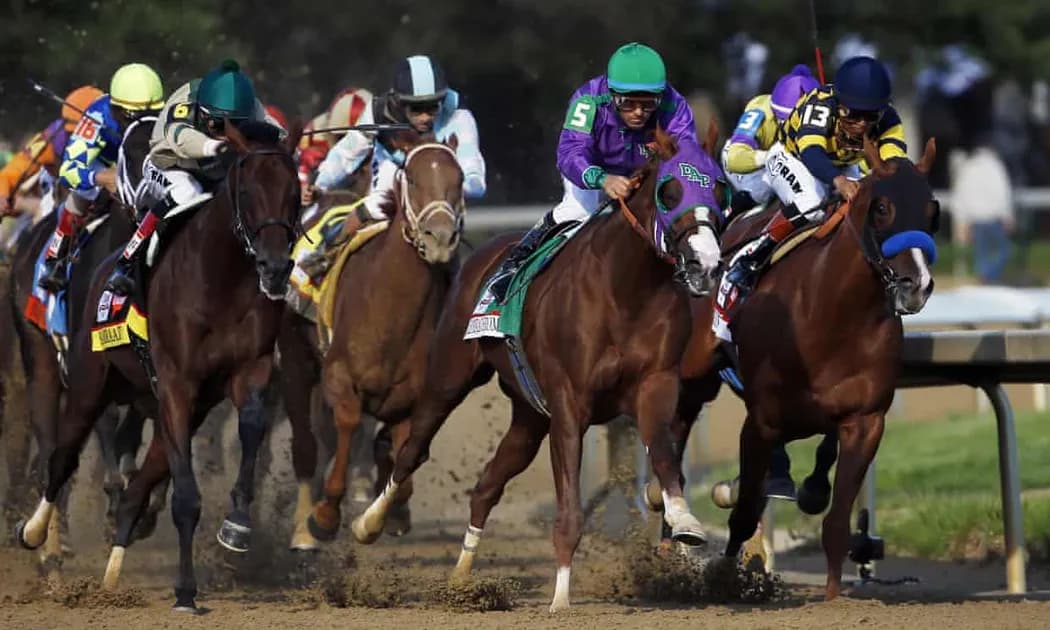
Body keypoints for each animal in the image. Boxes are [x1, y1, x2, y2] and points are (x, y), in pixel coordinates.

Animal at [14, 119, 302, 612]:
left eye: (295, 190)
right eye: (248, 190)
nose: (276, 267)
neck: (221, 279)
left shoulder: (247, 372)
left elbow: (251, 425)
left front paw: (237, 525)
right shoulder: (175, 383)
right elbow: (184, 498)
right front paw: (185, 591)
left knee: (136, 486)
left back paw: (112, 572)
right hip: (84, 382)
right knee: (60, 460)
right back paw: (39, 537)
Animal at [279, 131, 464, 549]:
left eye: (460, 178)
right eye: (411, 177)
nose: (440, 237)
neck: (389, 312)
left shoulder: (409, 397)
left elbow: (405, 453)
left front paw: (380, 517)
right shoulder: (338, 375)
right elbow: (347, 423)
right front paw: (326, 515)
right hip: (296, 360)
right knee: (307, 445)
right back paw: (302, 529)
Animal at [351, 125, 726, 612]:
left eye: (720, 188)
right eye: (670, 190)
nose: (706, 264)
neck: (627, 290)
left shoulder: (656, 385)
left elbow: (663, 453)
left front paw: (685, 522)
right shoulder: (569, 405)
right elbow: (569, 505)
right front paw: (561, 597)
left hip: (528, 419)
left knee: (486, 486)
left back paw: (461, 580)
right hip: (448, 378)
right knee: (413, 450)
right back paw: (369, 523)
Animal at [673, 137, 940, 600]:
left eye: (932, 210)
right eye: (882, 208)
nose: (916, 285)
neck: (830, 314)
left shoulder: (865, 421)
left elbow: (836, 522)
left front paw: (832, 596)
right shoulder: (760, 422)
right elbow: (744, 514)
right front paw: (725, 579)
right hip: (695, 372)